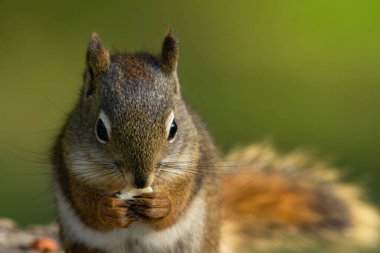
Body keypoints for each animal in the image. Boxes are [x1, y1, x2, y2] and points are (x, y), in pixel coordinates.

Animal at [51, 30, 380, 252]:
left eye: (174, 128)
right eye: (100, 130)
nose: (142, 180)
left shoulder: (192, 166)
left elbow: (177, 204)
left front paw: (160, 204)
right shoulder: (71, 166)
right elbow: (85, 204)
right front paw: (108, 209)